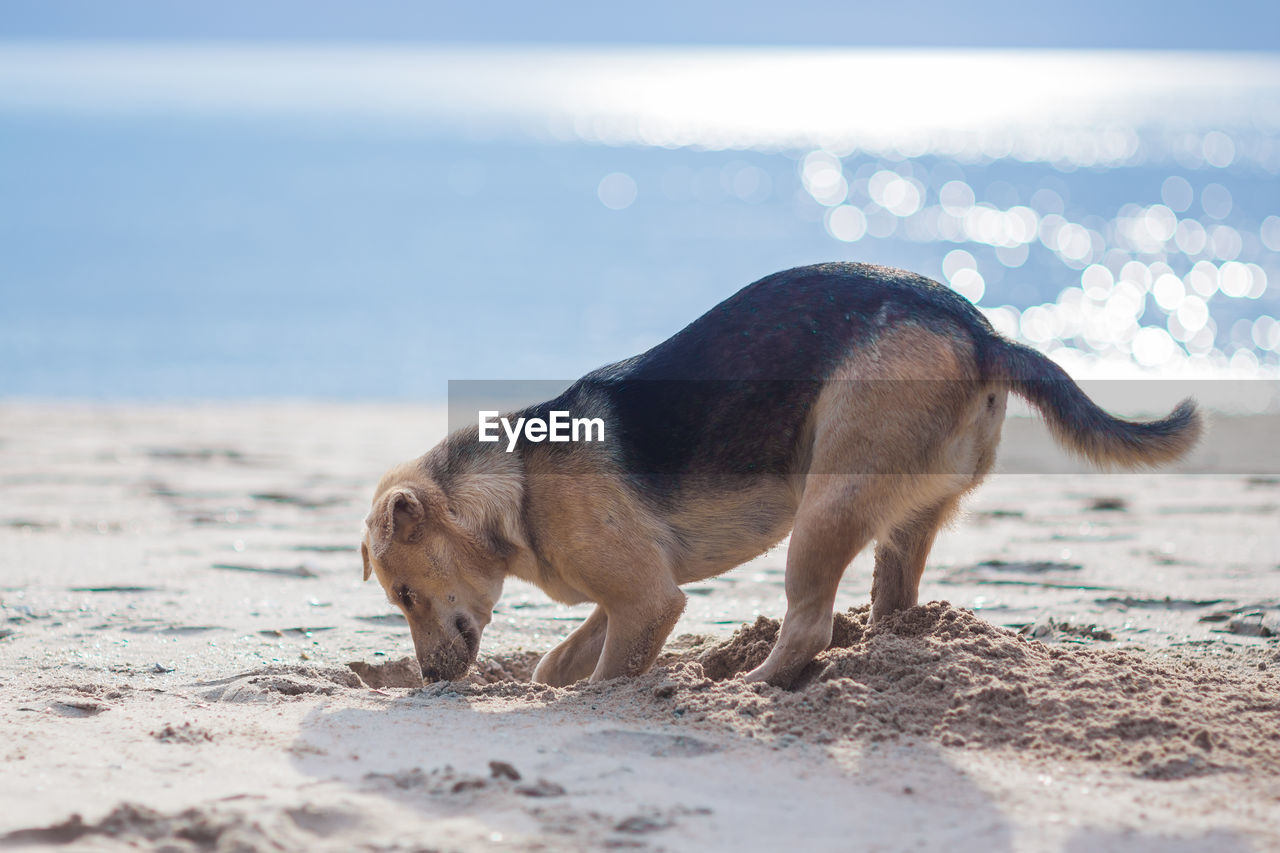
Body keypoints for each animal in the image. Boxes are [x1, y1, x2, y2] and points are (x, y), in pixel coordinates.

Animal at [360, 258, 1198, 686]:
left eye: (405, 594)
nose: (428, 679)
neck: (517, 482)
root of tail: (982, 332)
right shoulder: (633, 594)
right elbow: (560, 660)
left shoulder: (648, 599)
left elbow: (603, 676)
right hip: (902, 518)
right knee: (889, 603)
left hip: (826, 507)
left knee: (806, 625)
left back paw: (747, 685)